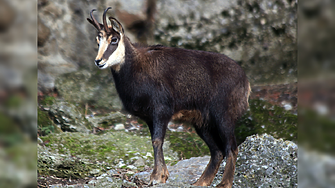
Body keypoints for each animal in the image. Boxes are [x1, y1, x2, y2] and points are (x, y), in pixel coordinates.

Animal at [88, 6, 251, 187]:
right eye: (98, 41)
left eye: (114, 39)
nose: (99, 61)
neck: (136, 67)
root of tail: (244, 80)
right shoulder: (149, 117)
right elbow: (154, 141)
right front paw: (161, 175)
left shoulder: (162, 110)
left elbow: (157, 141)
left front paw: (157, 176)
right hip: (202, 123)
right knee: (217, 151)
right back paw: (200, 182)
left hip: (224, 116)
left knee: (231, 148)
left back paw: (224, 183)